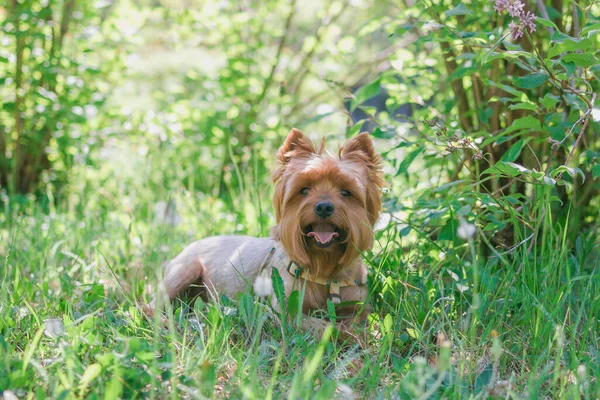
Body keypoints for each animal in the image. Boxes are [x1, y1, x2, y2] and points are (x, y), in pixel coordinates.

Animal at [143, 130, 382, 336]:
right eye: (304, 190)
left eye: (346, 192)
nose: (323, 207)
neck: (325, 268)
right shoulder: (287, 313)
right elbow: (323, 326)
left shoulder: (357, 309)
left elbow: (355, 325)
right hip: (186, 269)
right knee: (150, 306)